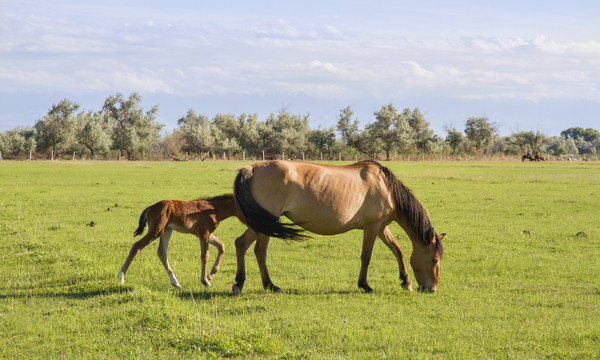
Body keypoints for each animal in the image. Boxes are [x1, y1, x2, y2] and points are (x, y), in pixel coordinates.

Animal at [233, 161, 446, 296]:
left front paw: (406, 282)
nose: (432, 289)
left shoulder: (381, 227)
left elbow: (398, 250)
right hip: (266, 222)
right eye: (434, 260)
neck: (387, 188)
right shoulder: (372, 227)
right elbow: (366, 256)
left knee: (241, 244)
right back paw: (268, 285)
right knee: (259, 250)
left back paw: (241, 283)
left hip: (262, 223)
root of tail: (251, 169)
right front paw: (365, 285)